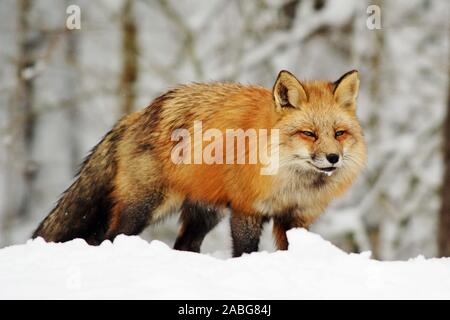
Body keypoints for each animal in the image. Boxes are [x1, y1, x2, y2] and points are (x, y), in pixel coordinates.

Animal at [33, 70, 368, 258]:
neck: (292, 184)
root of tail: (136, 115)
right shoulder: (246, 210)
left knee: (184, 246)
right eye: (309, 134)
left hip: (205, 214)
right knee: (109, 237)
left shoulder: (297, 218)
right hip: (143, 208)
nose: (333, 158)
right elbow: (244, 251)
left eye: (339, 133)